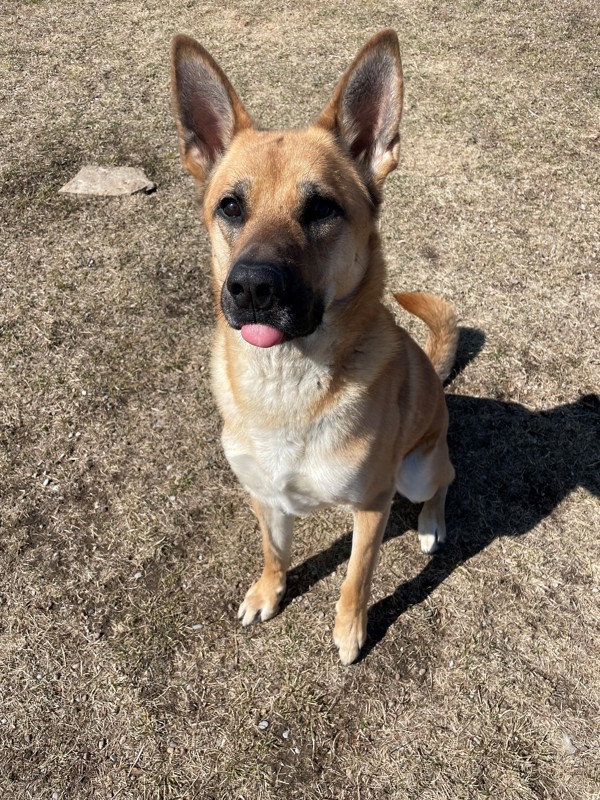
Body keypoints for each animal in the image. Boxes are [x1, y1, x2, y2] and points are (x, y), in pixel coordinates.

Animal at [171, 28, 458, 664]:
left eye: (321, 208)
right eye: (231, 205)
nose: (252, 288)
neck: (286, 384)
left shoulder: (373, 505)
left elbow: (355, 577)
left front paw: (351, 631)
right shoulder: (265, 497)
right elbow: (273, 551)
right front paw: (268, 592)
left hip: (417, 470)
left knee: (445, 480)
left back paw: (432, 524)